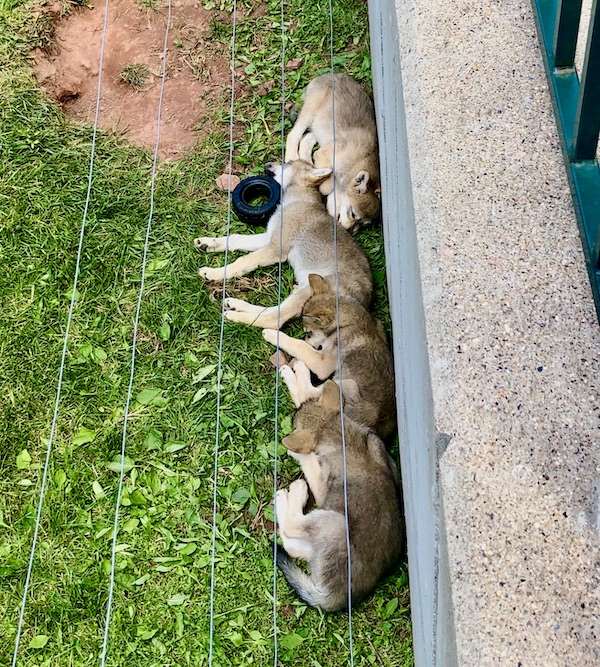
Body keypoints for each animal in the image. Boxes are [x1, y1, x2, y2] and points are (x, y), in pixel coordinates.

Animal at [194, 160, 373, 329]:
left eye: (288, 163)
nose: (267, 163)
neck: (297, 199)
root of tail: (363, 304)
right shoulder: (269, 238)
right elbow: (235, 239)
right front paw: (209, 243)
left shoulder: (275, 249)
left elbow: (243, 261)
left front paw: (214, 273)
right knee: (274, 310)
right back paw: (237, 305)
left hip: (308, 290)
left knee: (275, 320)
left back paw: (235, 317)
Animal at [262, 273, 396, 439]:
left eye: (308, 333)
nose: (309, 340)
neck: (348, 323)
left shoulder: (323, 364)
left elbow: (299, 345)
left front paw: (273, 334)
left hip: (346, 385)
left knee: (306, 394)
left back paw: (295, 370)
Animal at [275, 380, 403, 612]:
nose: (294, 410)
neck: (339, 434)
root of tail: (338, 596)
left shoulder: (321, 485)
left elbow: (310, 463)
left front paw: (297, 454)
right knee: (295, 546)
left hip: (334, 522)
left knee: (292, 526)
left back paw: (292, 494)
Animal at [285, 73, 381, 231]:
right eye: (353, 214)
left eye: (362, 224)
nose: (348, 230)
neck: (360, 158)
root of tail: (332, 75)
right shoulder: (324, 154)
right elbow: (327, 185)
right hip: (310, 111)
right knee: (294, 135)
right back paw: (292, 157)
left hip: (319, 127)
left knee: (306, 139)